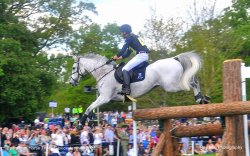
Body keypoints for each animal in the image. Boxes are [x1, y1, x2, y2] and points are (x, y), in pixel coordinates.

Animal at [69, 51, 209, 123]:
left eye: (73, 67)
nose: (71, 82)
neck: (104, 72)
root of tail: (174, 59)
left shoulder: (104, 98)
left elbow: (89, 107)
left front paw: (81, 123)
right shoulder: (110, 99)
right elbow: (92, 108)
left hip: (172, 85)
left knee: (192, 83)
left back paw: (199, 98)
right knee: (194, 80)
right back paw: (203, 99)